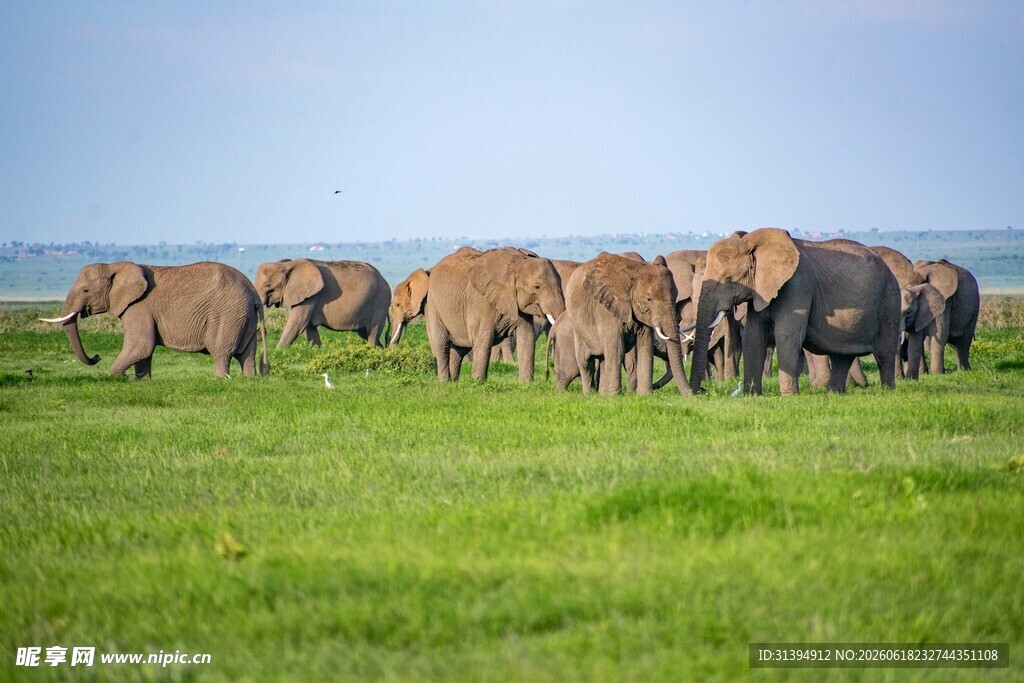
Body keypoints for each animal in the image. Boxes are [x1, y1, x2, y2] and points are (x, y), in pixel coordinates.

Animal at [41, 261, 268, 378]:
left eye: (86, 290)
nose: (96, 356)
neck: (115, 266)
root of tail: (253, 292)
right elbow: (143, 350)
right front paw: (141, 381)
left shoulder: (138, 307)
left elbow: (141, 346)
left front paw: (119, 378)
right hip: (243, 315)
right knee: (247, 353)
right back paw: (249, 379)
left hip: (227, 314)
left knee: (221, 351)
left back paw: (221, 380)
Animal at [255, 259, 390, 348]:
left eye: (267, 285)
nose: (263, 331)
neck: (288, 264)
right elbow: (309, 328)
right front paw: (316, 351)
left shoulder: (311, 296)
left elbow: (297, 323)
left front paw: (278, 352)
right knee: (364, 333)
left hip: (380, 301)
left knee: (373, 332)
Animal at [425, 247, 565, 382]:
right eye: (537, 287)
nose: (548, 376)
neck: (518, 262)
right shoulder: (481, 302)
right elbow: (484, 340)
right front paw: (478, 383)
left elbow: (527, 337)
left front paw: (526, 384)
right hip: (433, 306)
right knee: (442, 345)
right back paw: (445, 382)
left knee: (459, 349)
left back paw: (453, 383)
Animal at [565, 252, 691, 396]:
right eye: (649, 299)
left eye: (675, 296)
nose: (691, 394)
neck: (636, 271)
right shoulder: (605, 308)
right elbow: (617, 349)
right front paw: (615, 396)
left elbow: (645, 347)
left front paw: (644, 395)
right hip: (578, 326)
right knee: (586, 362)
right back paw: (589, 395)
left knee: (603, 359)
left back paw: (602, 395)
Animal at [690, 229, 901, 395]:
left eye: (729, 278)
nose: (700, 391)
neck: (752, 241)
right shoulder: (761, 291)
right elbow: (753, 335)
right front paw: (752, 396)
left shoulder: (797, 286)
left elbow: (786, 335)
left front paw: (789, 397)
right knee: (842, 355)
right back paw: (833, 394)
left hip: (889, 300)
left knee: (885, 353)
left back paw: (888, 392)